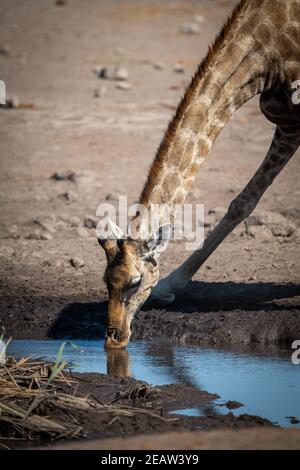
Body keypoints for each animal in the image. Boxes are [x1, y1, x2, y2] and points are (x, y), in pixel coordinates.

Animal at [99, 0, 300, 348]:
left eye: (136, 281)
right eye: (105, 281)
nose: (114, 337)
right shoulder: (289, 124)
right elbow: (242, 202)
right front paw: (170, 285)